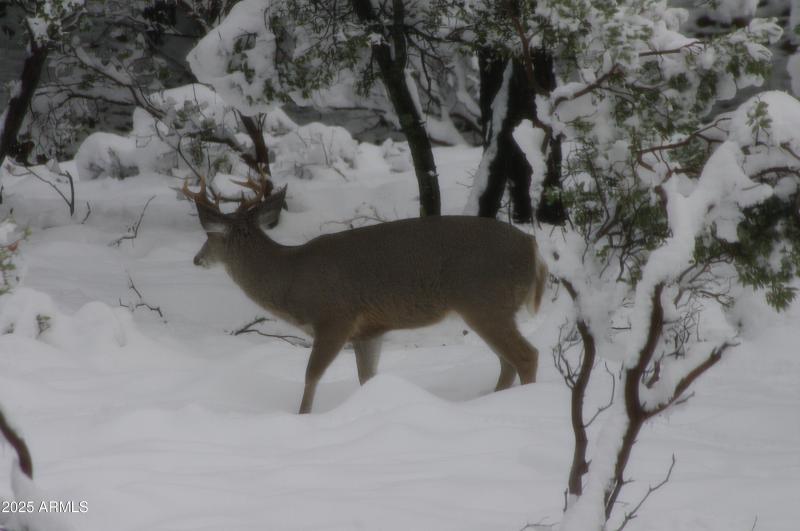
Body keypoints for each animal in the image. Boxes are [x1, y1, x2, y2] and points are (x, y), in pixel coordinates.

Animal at [182, 175, 548, 413]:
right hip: (489, 307)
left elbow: (311, 375)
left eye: (210, 236)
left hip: (485, 300)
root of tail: (532, 247)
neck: (291, 278)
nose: (197, 259)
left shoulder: (335, 317)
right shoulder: (370, 330)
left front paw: (303, 418)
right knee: (507, 361)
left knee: (526, 355)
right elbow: (367, 378)